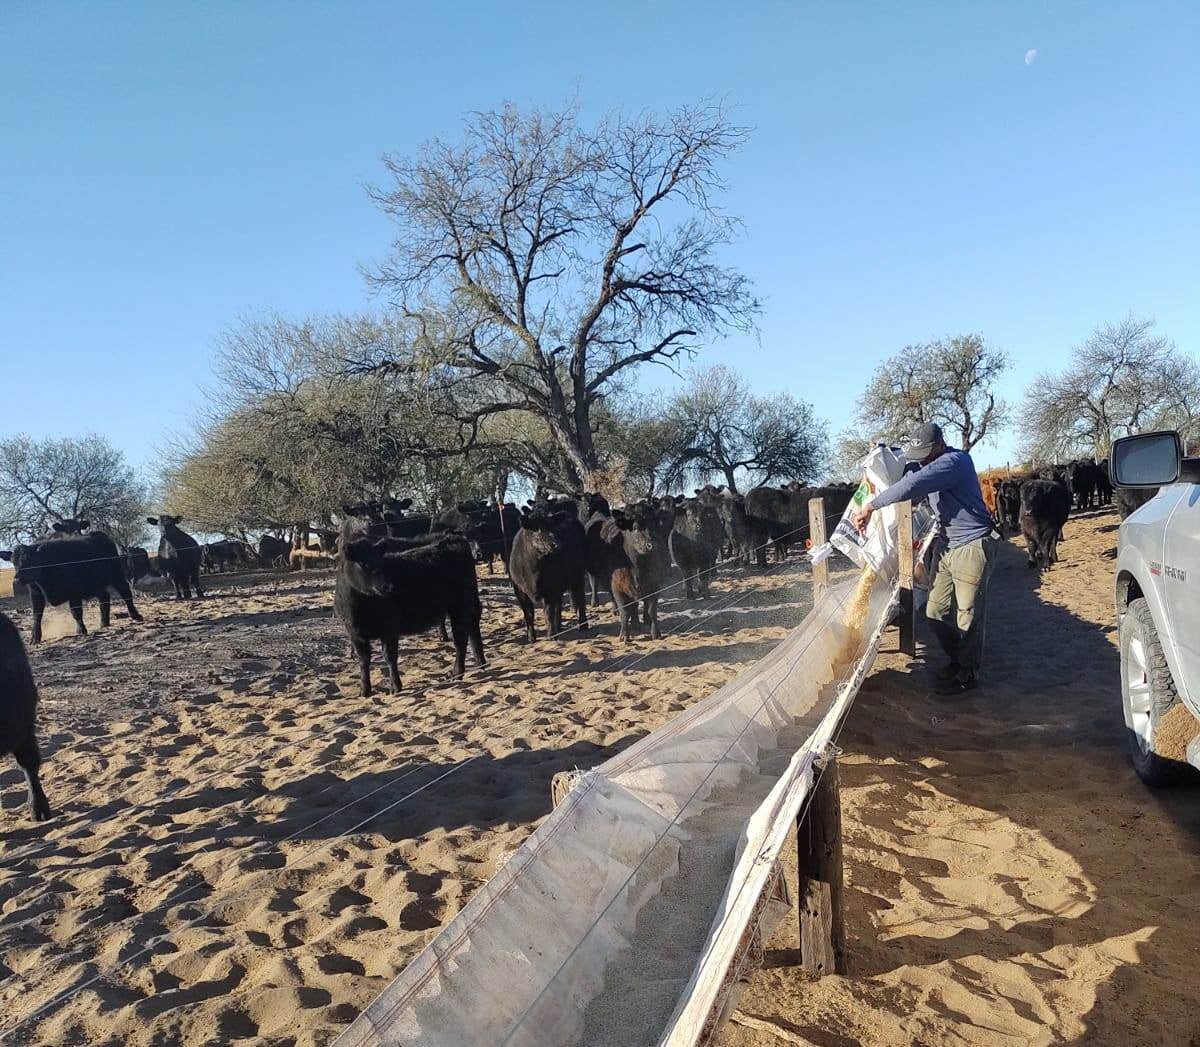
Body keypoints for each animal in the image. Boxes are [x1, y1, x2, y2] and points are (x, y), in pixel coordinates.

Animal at [0, 528, 142, 643]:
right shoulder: (35, 594)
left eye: (29, 560)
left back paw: (136, 615)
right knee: (104, 598)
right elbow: (37, 615)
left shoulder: (74, 593)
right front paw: (35, 638)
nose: (17, 579)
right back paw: (104, 623)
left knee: (126, 593)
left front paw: (81, 630)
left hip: (117, 575)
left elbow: (76, 612)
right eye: (14, 562)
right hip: (96, 583)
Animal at [336, 530, 484, 696]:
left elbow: (389, 656)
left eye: (381, 562)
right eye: (363, 564)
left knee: (460, 638)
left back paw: (457, 672)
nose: (388, 586)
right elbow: (363, 660)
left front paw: (395, 687)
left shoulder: (389, 628)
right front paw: (364, 690)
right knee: (472, 627)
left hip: (460, 604)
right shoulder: (355, 634)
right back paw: (479, 663)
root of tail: (453, 538)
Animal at [508, 509, 588, 638]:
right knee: (559, 603)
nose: (556, 544)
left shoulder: (550, 589)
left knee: (580, 597)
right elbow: (528, 614)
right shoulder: (519, 591)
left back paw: (583, 625)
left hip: (578, 575)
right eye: (536, 528)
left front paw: (551, 635)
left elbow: (548, 611)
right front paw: (531, 637)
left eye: (553, 527)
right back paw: (559, 627)